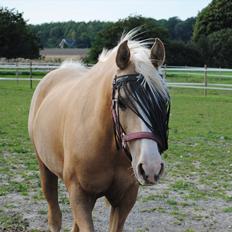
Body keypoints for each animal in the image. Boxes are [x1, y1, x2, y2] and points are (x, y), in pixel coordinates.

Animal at [29, 30, 170, 232]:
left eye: (163, 102)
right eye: (122, 102)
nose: (151, 168)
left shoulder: (125, 199)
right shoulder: (79, 194)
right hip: (45, 168)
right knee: (54, 216)